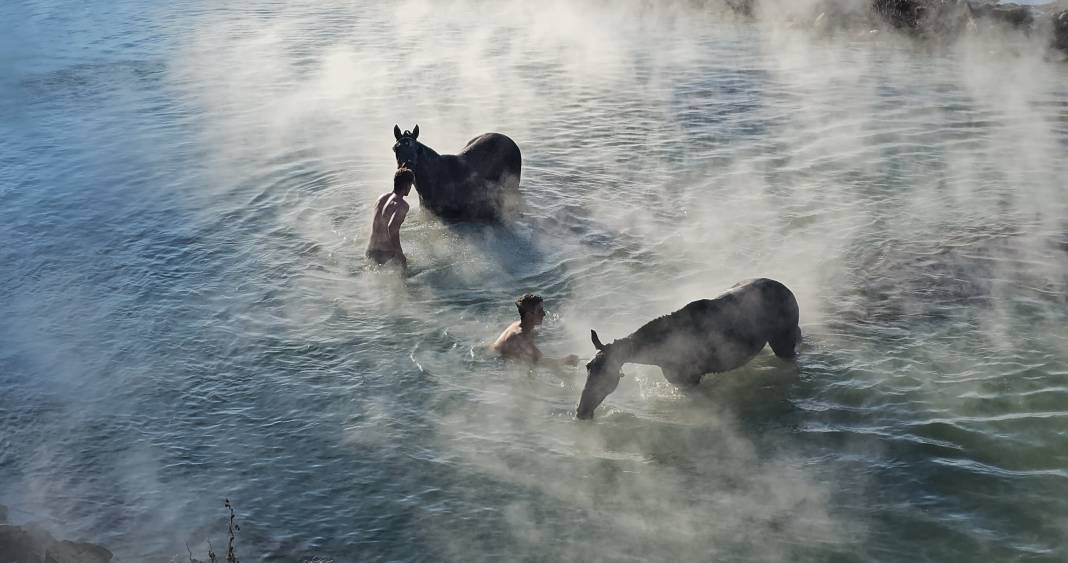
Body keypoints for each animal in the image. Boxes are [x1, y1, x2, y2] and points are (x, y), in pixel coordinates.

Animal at [576, 279, 803, 420]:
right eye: (587, 366)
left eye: (607, 374)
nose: (581, 411)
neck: (657, 353)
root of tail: (788, 290)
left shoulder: (689, 380)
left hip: (783, 343)